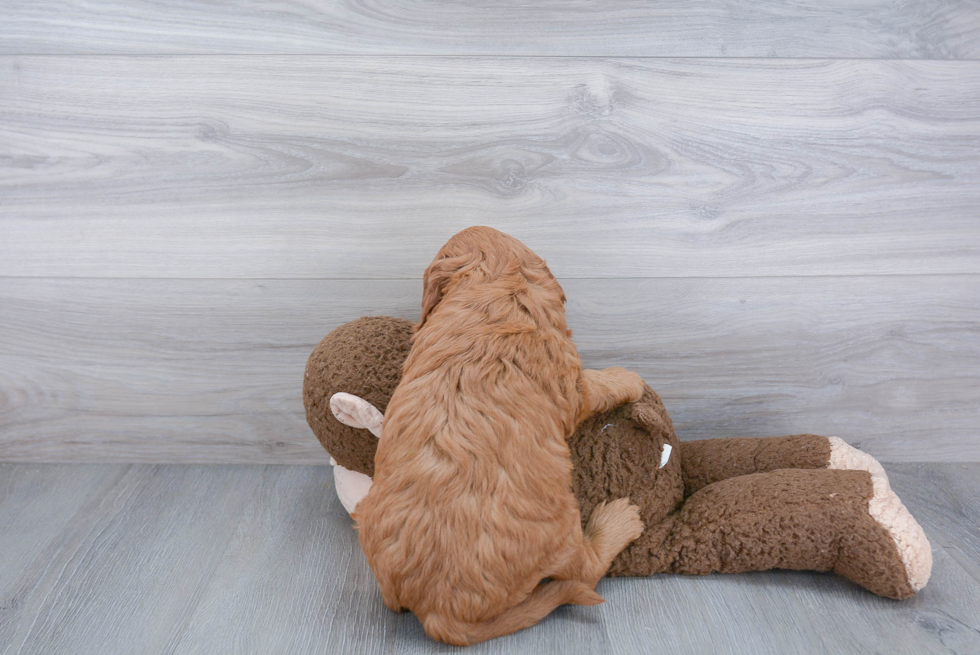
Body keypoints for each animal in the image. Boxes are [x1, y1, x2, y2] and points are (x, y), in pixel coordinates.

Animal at [356, 227, 648, 644]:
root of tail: (436, 611)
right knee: (585, 569)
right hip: (562, 529)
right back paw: (619, 520)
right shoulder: (571, 384)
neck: (493, 286)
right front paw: (629, 379)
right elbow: (597, 385)